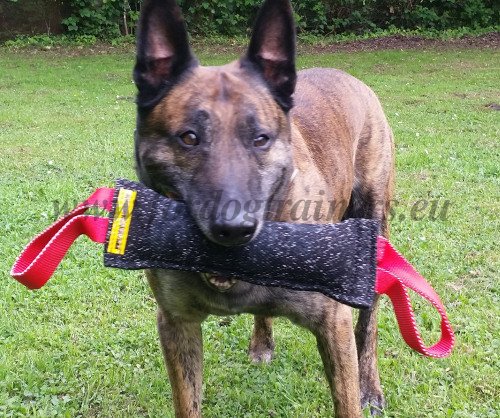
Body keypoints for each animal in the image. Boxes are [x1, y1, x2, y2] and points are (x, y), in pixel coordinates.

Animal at [133, 0, 394, 414]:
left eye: (261, 139)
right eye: (189, 138)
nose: (234, 227)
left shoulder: (333, 321)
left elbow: (346, 399)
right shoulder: (176, 324)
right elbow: (187, 402)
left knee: (367, 323)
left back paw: (370, 385)